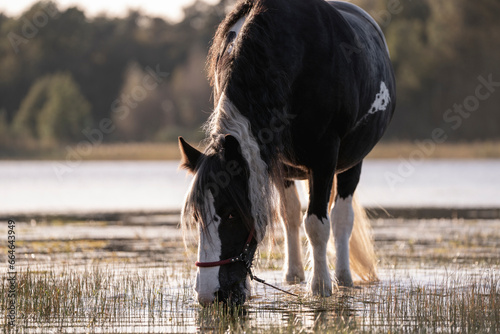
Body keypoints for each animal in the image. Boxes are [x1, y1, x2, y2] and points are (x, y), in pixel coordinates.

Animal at [179, 0, 394, 306]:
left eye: (231, 213)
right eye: (197, 216)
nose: (210, 295)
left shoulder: (325, 157)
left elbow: (317, 224)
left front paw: (320, 286)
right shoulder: (271, 158)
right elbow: (287, 215)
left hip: (351, 164)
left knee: (341, 218)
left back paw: (343, 278)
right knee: (292, 214)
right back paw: (294, 275)